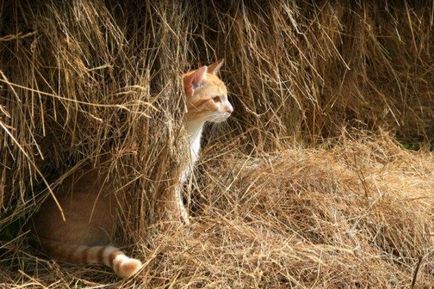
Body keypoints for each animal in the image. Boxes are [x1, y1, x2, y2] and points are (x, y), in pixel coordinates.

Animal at [31, 59, 232, 278]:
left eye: (226, 96)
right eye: (216, 99)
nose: (231, 110)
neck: (191, 132)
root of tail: (37, 229)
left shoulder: (177, 184)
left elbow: (181, 210)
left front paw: (188, 224)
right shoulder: (168, 186)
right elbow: (174, 214)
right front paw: (184, 234)